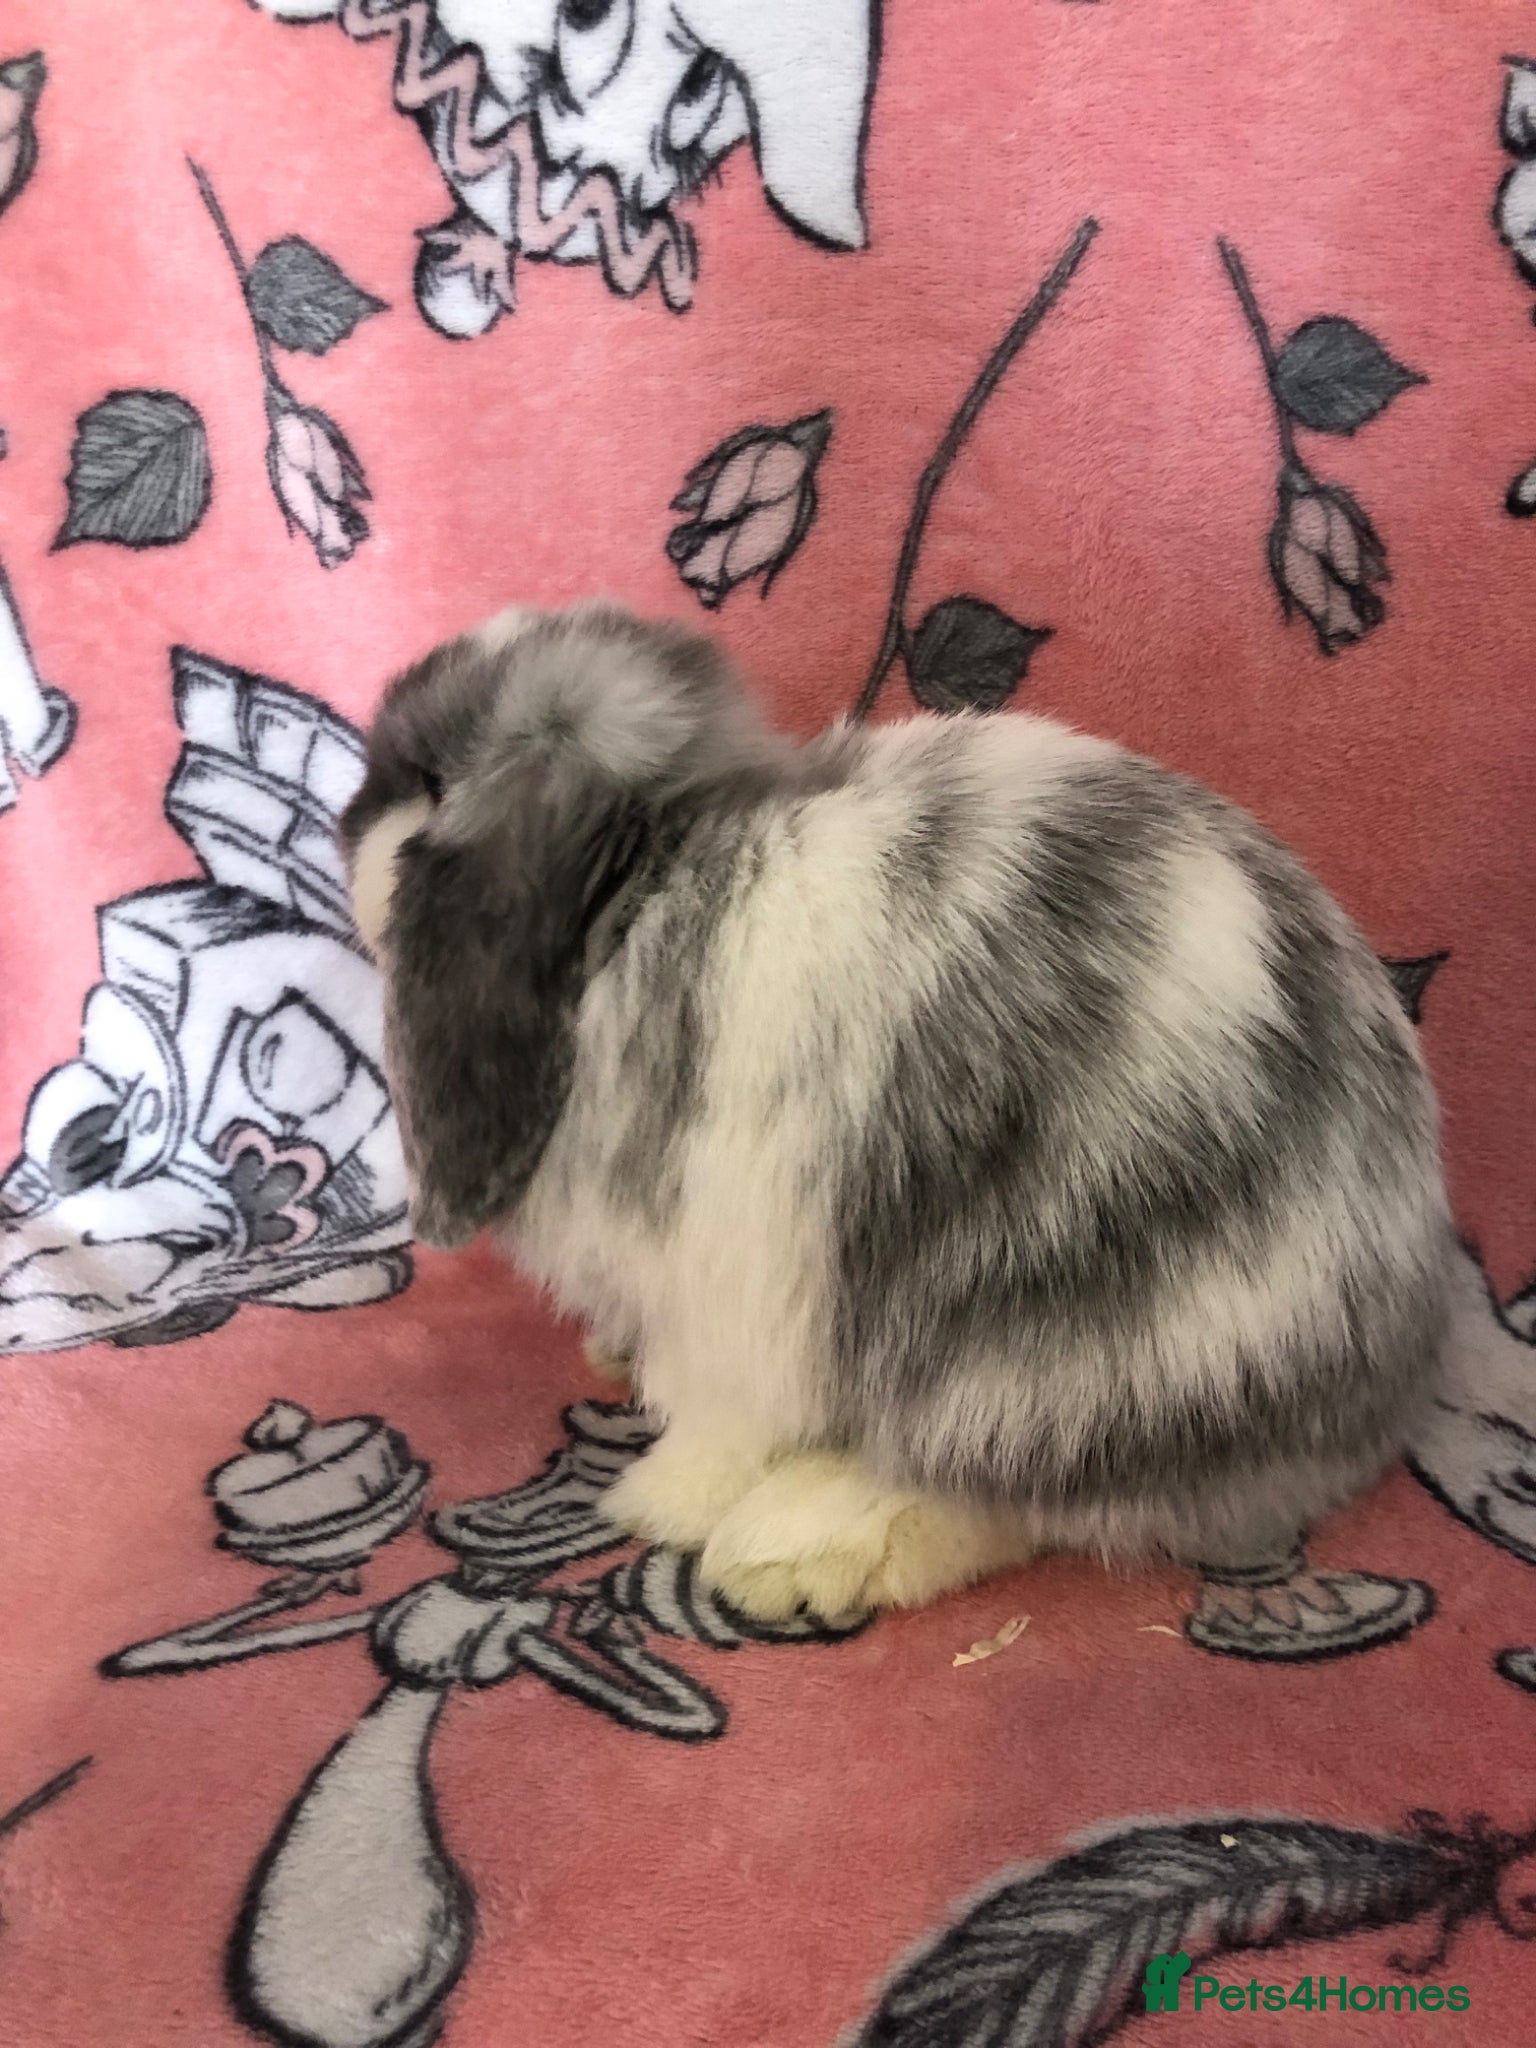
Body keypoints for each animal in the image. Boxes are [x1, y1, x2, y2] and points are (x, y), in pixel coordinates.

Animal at [340, 600, 1454, 1624]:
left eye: (427, 782)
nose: (346, 824)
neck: (643, 890)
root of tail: (1387, 1380)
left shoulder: (731, 1294)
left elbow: (718, 1425)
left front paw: (652, 1504)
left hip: (1046, 1372)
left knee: (1016, 1499)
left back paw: (800, 1546)